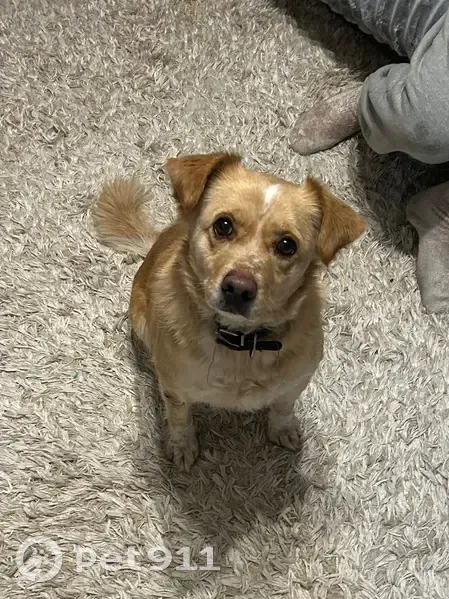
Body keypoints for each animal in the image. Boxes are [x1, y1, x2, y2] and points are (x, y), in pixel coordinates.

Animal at [94, 152, 365, 470]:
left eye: (287, 245)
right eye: (223, 225)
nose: (238, 289)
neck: (240, 343)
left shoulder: (296, 381)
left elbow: (283, 407)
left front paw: (282, 429)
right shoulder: (175, 389)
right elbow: (179, 419)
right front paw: (182, 446)